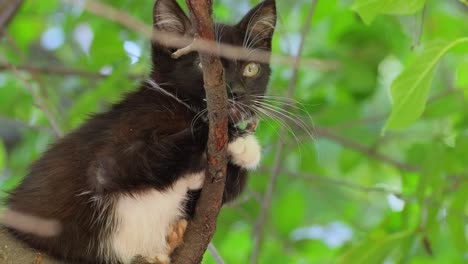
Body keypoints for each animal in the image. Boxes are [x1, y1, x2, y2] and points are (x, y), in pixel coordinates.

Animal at [1, 0, 276, 262]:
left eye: (251, 69)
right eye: (202, 64)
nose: (236, 92)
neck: (183, 107)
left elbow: (231, 188)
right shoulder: (111, 155)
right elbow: (116, 166)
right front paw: (237, 138)